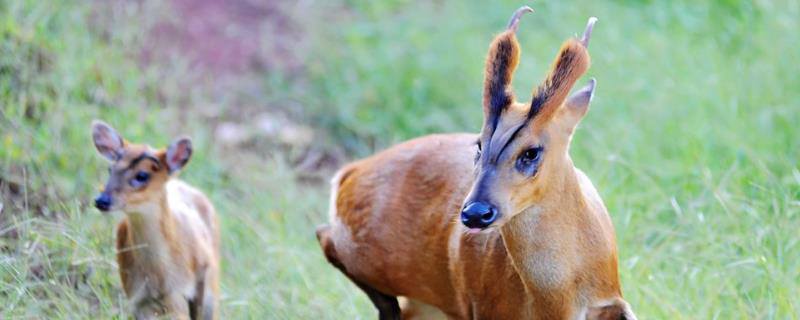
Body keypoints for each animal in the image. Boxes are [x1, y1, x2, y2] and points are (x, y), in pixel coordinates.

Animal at [318, 7, 636, 320]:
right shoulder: (483, 307)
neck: (557, 301)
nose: (476, 213)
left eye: (531, 152)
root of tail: (349, 172)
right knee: (325, 236)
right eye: (479, 144)